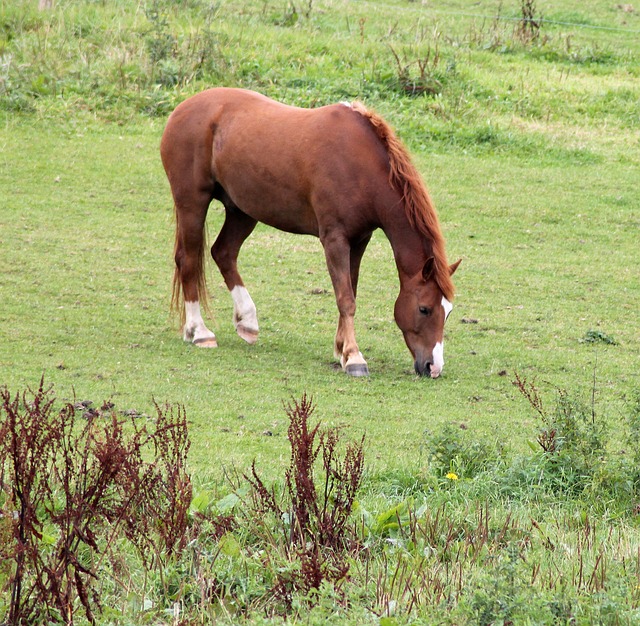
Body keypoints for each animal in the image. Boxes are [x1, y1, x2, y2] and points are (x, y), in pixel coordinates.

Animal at [160, 88, 460, 376]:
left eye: (448, 311)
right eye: (424, 309)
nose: (434, 367)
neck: (359, 165)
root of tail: (182, 109)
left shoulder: (359, 240)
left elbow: (350, 289)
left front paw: (341, 349)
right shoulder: (335, 239)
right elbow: (346, 299)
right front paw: (354, 357)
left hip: (242, 211)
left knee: (223, 253)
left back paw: (247, 321)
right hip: (192, 203)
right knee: (189, 260)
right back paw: (199, 332)